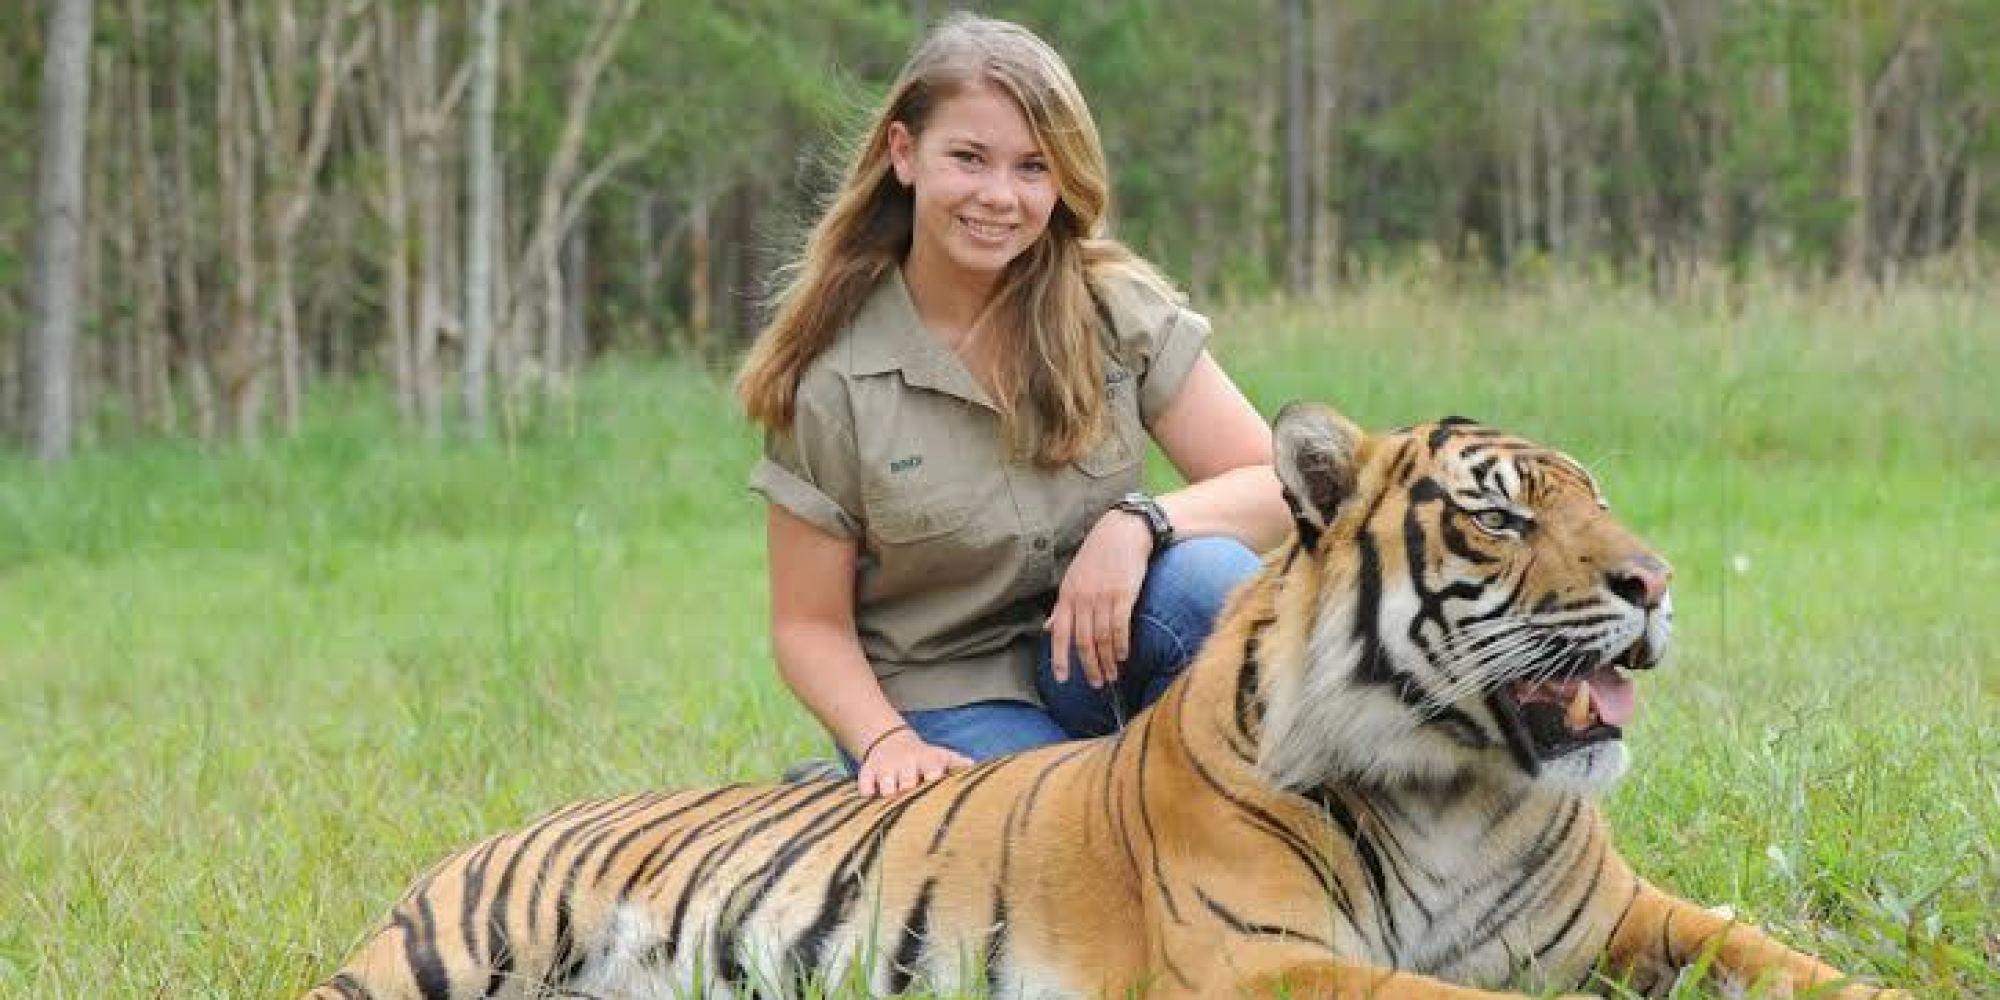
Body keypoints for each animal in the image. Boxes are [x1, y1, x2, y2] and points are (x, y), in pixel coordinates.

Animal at [300, 402, 1904, 996]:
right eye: (1501, 515)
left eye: (1601, 500)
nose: (1656, 583)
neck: (1453, 782)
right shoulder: (1265, 964)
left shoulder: (1628, 919)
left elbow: (1777, 955)